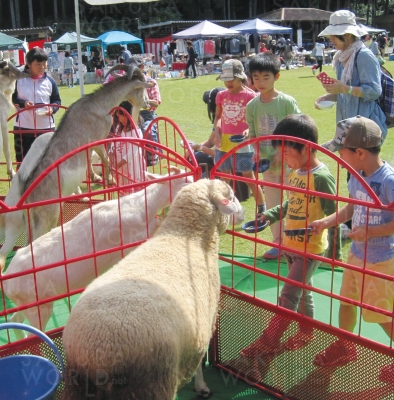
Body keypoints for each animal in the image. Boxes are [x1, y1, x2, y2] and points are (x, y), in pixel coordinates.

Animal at [2, 166, 192, 338]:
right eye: (186, 180)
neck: (140, 207)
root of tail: (8, 283)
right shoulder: (132, 238)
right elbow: (156, 225)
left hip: (27, 303)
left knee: (15, 321)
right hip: (39, 306)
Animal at [18, 65, 152, 244]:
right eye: (142, 86)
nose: (147, 103)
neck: (98, 104)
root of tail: (27, 198)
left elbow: (89, 160)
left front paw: (96, 177)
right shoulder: (98, 137)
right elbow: (105, 158)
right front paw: (108, 178)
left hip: (32, 224)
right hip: (47, 217)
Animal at [60, 180, 243, 400]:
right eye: (231, 196)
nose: (242, 214)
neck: (186, 236)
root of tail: (98, 351)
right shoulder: (205, 321)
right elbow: (200, 361)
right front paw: (201, 386)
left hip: (76, 385)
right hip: (152, 383)